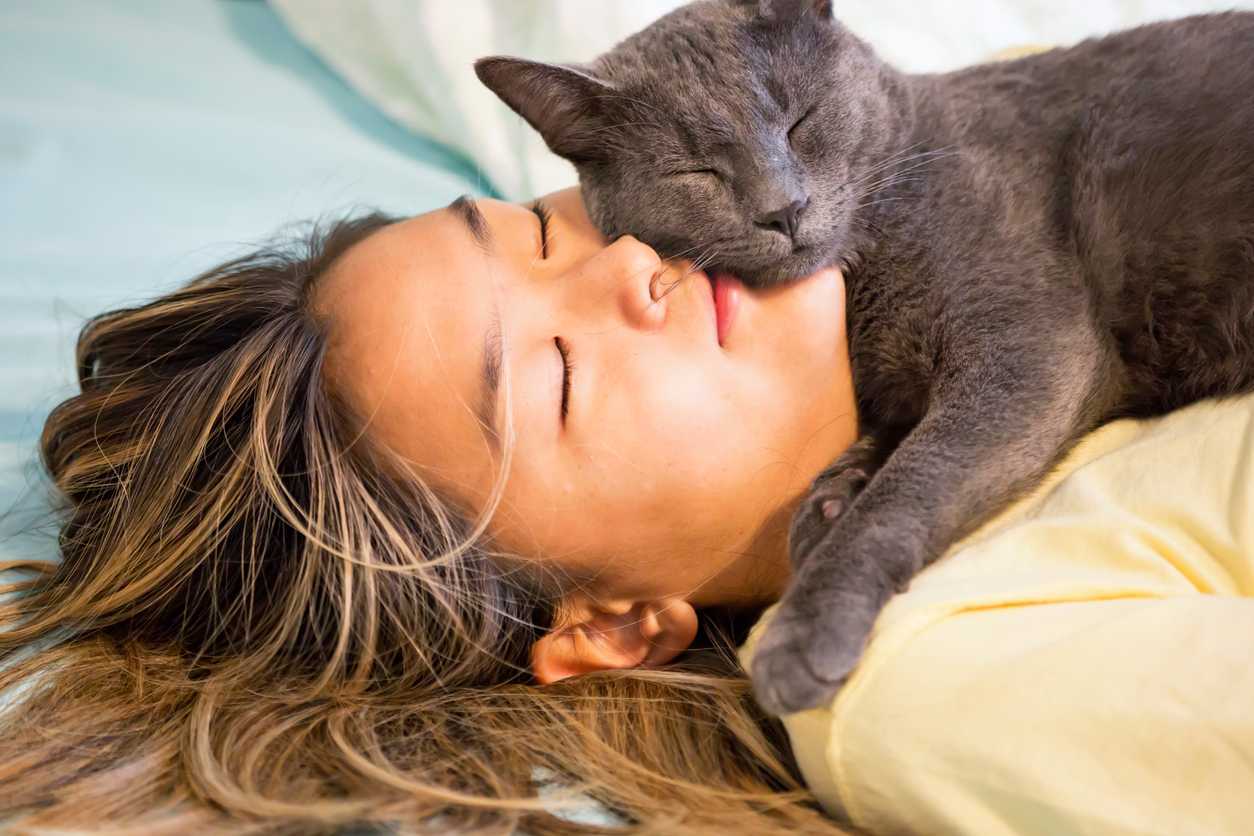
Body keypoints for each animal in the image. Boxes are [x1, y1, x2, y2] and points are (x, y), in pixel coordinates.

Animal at [474, 1, 1254, 711]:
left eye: (801, 120)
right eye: (696, 171)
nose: (784, 207)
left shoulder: (1028, 345)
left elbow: (913, 480)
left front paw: (806, 625)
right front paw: (832, 495)